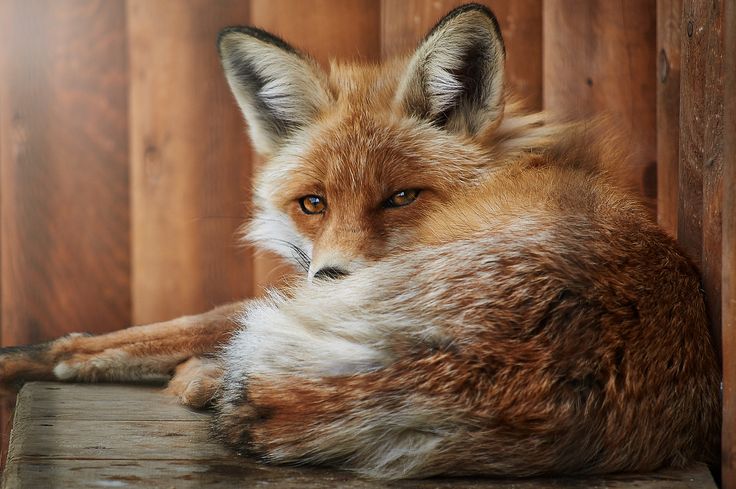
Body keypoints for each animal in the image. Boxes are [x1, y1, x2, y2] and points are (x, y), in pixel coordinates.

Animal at [0, 3, 721, 480]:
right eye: (313, 203)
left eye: (401, 197)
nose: (333, 278)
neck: (512, 165)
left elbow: (176, 329)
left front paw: (50, 356)